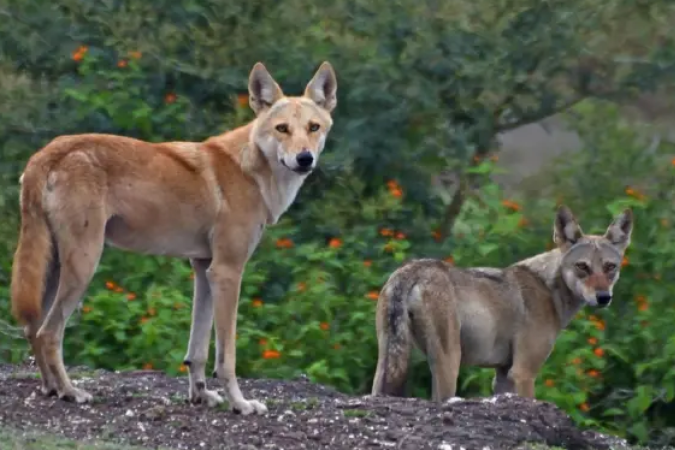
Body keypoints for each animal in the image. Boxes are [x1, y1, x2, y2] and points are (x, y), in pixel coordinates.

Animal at [10, 60, 338, 414]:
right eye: (282, 129)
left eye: (313, 127)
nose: (304, 159)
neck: (252, 171)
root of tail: (46, 152)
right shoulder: (228, 272)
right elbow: (226, 357)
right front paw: (240, 403)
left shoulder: (204, 269)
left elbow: (197, 351)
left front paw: (200, 396)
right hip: (84, 266)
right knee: (49, 332)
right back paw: (70, 391)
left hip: (55, 268)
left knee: (32, 328)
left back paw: (50, 389)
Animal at [374, 207, 632, 400]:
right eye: (582, 267)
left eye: (610, 267)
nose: (603, 297)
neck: (549, 289)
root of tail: (411, 269)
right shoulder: (523, 373)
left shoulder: (503, 375)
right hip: (449, 363)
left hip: (388, 361)